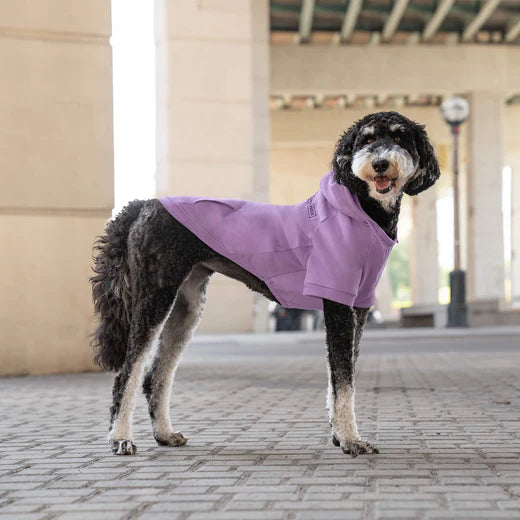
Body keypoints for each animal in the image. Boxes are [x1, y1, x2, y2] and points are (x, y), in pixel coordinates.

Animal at [92, 111, 438, 458]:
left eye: (399, 137)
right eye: (366, 140)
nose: (380, 163)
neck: (362, 210)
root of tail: (145, 204)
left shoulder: (359, 307)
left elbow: (342, 375)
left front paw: (339, 434)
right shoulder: (338, 305)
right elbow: (344, 381)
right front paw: (350, 439)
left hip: (186, 307)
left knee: (156, 376)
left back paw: (164, 433)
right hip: (154, 297)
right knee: (128, 372)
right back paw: (120, 438)